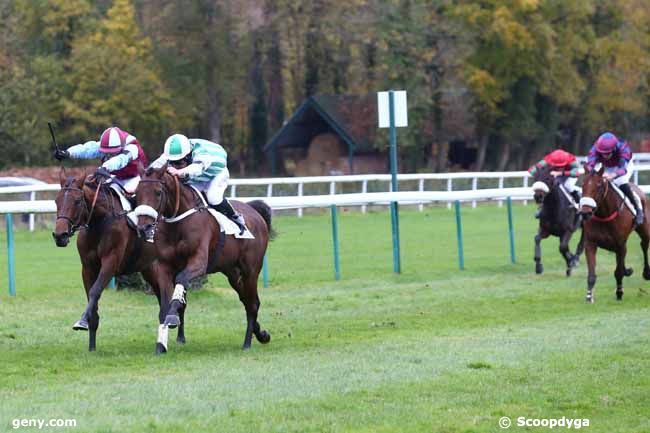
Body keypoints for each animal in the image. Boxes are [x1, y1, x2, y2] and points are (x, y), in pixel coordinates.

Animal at [52, 169, 175, 352]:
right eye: (56, 200)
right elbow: (91, 299)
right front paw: (91, 347)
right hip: (149, 270)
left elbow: (95, 291)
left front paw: (81, 321)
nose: (60, 235)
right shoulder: (87, 268)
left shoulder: (110, 262)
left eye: (77, 201)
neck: (99, 222)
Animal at [132, 165, 274, 352]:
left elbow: (181, 281)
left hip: (250, 270)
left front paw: (172, 318)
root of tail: (255, 212)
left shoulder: (198, 262)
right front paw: (161, 344)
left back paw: (247, 343)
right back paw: (261, 334)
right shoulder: (164, 266)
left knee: (252, 304)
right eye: (137, 193)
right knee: (246, 300)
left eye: (157, 192)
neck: (178, 222)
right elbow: (164, 303)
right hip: (232, 273)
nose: (144, 228)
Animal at [576, 164, 648, 302]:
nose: (586, 213)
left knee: (644, 245)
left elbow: (618, 272)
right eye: (582, 185)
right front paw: (589, 296)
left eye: (599, 185)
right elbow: (591, 273)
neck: (604, 215)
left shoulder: (621, 245)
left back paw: (647, 273)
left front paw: (619, 292)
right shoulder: (590, 244)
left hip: (645, 230)